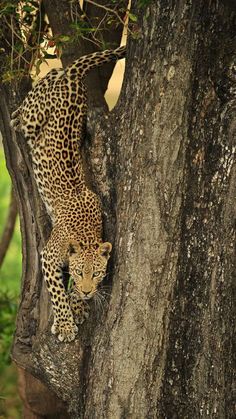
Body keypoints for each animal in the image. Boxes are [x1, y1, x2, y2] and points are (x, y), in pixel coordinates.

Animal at [11, 46, 125, 342]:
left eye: (97, 274)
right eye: (79, 271)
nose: (87, 291)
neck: (85, 234)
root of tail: (73, 77)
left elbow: (69, 293)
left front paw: (79, 305)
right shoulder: (48, 258)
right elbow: (58, 294)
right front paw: (65, 324)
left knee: (52, 74)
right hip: (34, 117)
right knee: (31, 101)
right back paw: (14, 116)